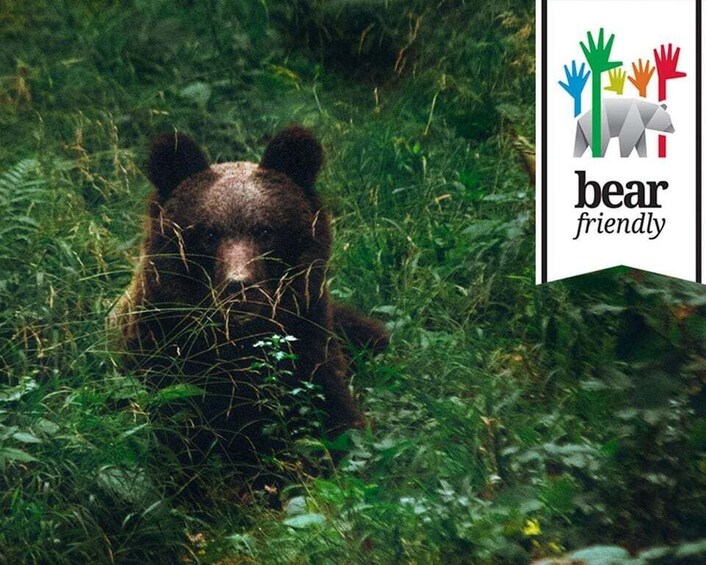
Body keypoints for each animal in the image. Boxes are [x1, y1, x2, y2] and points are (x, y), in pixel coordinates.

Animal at [111, 126, 388, 485]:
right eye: (208, 233)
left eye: (265, 230)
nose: (239, 285)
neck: (238, 344)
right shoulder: (165, 353)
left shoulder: (308, 349)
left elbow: (337, 427)